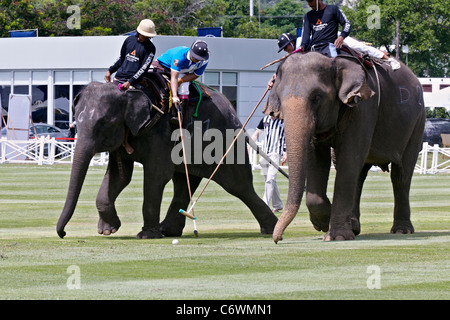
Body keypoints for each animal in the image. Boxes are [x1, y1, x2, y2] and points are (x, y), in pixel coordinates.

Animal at [56, 81, 278, 239]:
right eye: (75, 122)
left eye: (103, 123)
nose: (64, 233)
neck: (128, 91)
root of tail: (236, 116)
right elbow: (120, 176)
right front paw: (108, 231)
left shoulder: (160, 132)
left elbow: (156, 175)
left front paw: (145, 236)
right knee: (183, 183)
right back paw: (168, 231)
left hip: (226, 141)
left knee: (238, 185)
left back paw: (272, 229)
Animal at [266, 52, 428, 242]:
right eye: (280, 99)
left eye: (316, 97)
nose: (278, 239)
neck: (333, 61)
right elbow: (316, 160)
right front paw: (324, 223)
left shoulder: (362, 107)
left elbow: (349, 158)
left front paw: (337, 236)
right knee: (360, 175)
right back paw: (354, 226)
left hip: (417, 123)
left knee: (401, 175)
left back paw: (402, 231)